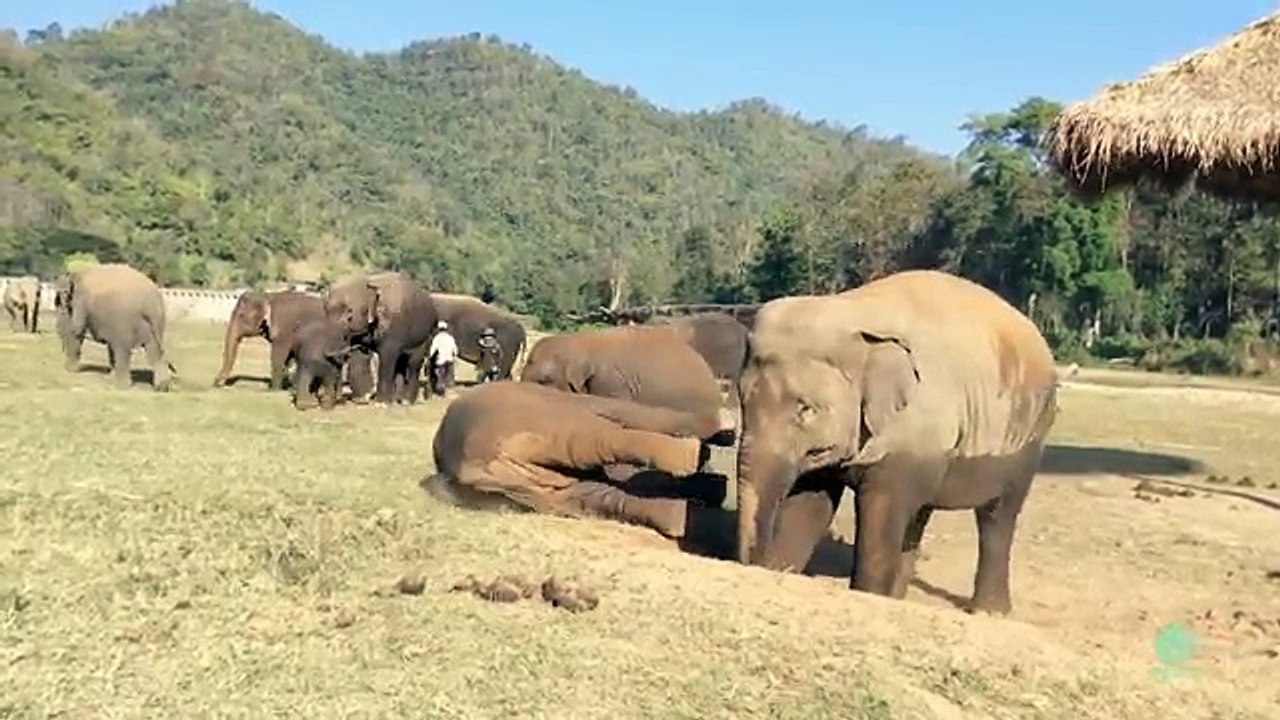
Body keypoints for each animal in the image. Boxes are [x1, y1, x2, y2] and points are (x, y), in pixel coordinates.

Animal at [55, 263, 177, 391]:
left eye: (60, 301)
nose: (57, 329)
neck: (77, 274)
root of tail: (150, 303)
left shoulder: (81, 300)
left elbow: (76, 329)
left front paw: (70, 370)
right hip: (157, 325)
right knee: (153, 353)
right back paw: (161, 387)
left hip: (124, 323)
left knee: (122, 350)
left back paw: (121, 386)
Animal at [324, 270, 439, 405]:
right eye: (325, 311)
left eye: (349, 314)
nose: (338, 398)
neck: (368, 281)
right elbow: (359, 355)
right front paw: (362, 399)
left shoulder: (393, 328)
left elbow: (387, 358)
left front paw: (381, 403)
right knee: (401, 363)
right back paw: (397, 399)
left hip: (425, 335)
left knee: (413, 363)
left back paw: (406, 401)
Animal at [735, 269, 1058, 615]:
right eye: (742, 400)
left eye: (805, 409)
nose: (759, 561)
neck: (849, 314)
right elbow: (811, 505)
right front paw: (785, 569)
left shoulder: (912, 430)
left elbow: (882, 511)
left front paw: (869, 594)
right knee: (920, 516)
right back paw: (901, 596)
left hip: (1029, 440)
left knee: (998, 517)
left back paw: (990, 611)